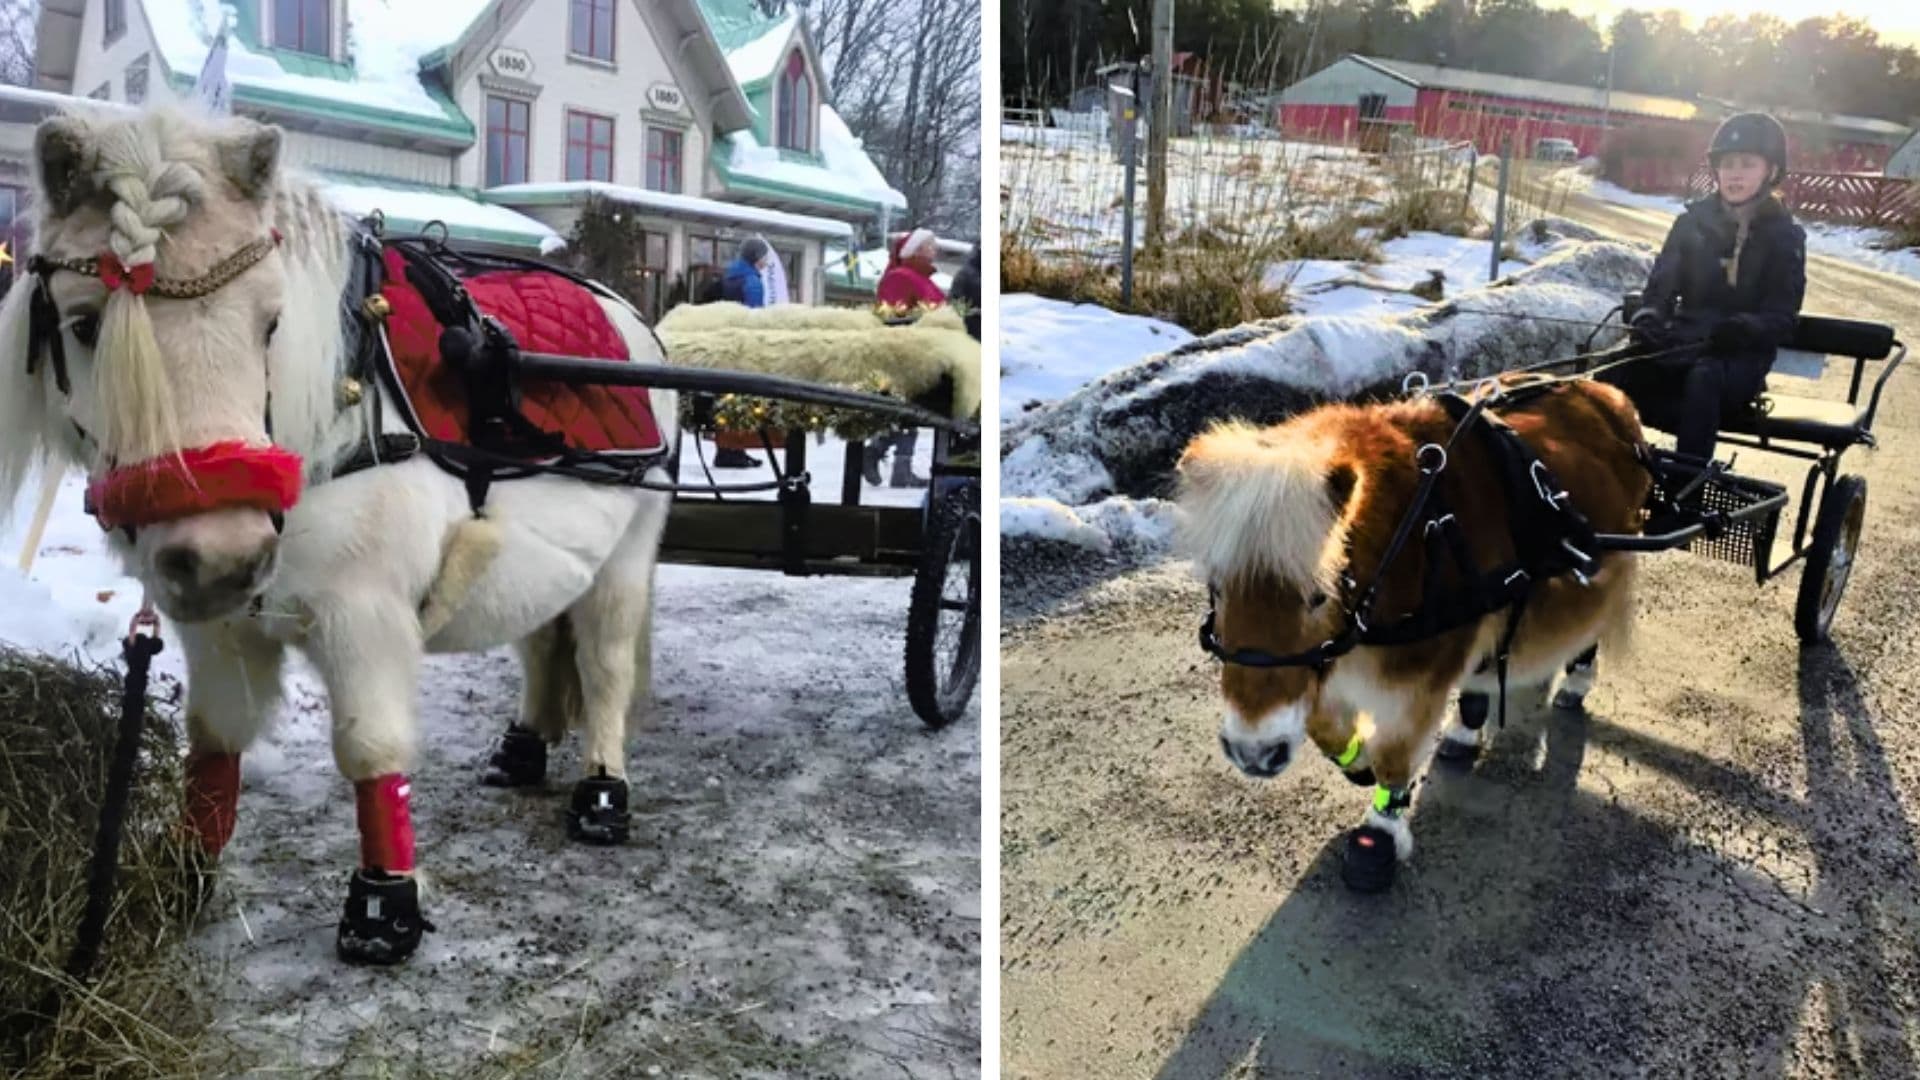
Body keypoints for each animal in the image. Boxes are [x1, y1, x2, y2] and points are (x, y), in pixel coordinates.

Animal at [0, 108, 677, 964]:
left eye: (270, 321)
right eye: (85, 323)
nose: (223, 557)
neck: (331, 423)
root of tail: (632, 318)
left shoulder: (365, 620)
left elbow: (370, 751)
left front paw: (383, 909)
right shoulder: (220, 631)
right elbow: (214, 744)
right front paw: (182, 878)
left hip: (627, 557)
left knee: (606, 664)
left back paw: (601, 792)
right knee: (539, 642)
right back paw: (521, 751)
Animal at [1176, 375, 1651, 891]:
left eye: (1317, 596)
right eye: (1217, 588)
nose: (1253, 752)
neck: (1410, 540)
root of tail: (1607, 392)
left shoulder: (1417, 681)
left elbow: (1395, 755)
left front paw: (1380, 834)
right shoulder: (1327, 667)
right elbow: (1325, 728)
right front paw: (1357, 762)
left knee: (1590, 629)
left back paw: (1576, 679)